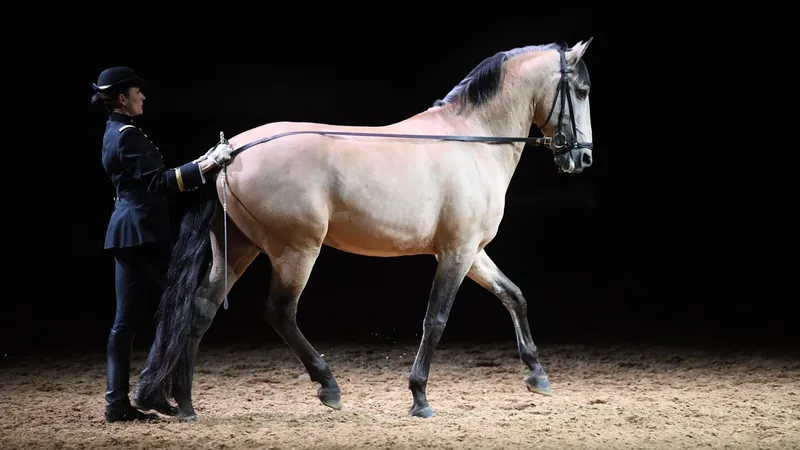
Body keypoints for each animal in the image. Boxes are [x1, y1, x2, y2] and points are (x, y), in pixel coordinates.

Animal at [134, 37, 592, 420]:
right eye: (582, 91)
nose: (582, 158)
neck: (472, 140)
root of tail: (228, 154)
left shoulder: (472, 251)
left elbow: (514, 296)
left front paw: (537, 375)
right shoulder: (456, 253)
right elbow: (436, 319)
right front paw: (419, 397)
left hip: (239, 248)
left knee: (201, 308)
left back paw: (186, 403)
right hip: (296, 251)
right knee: (279, 311)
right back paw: (328, 386)